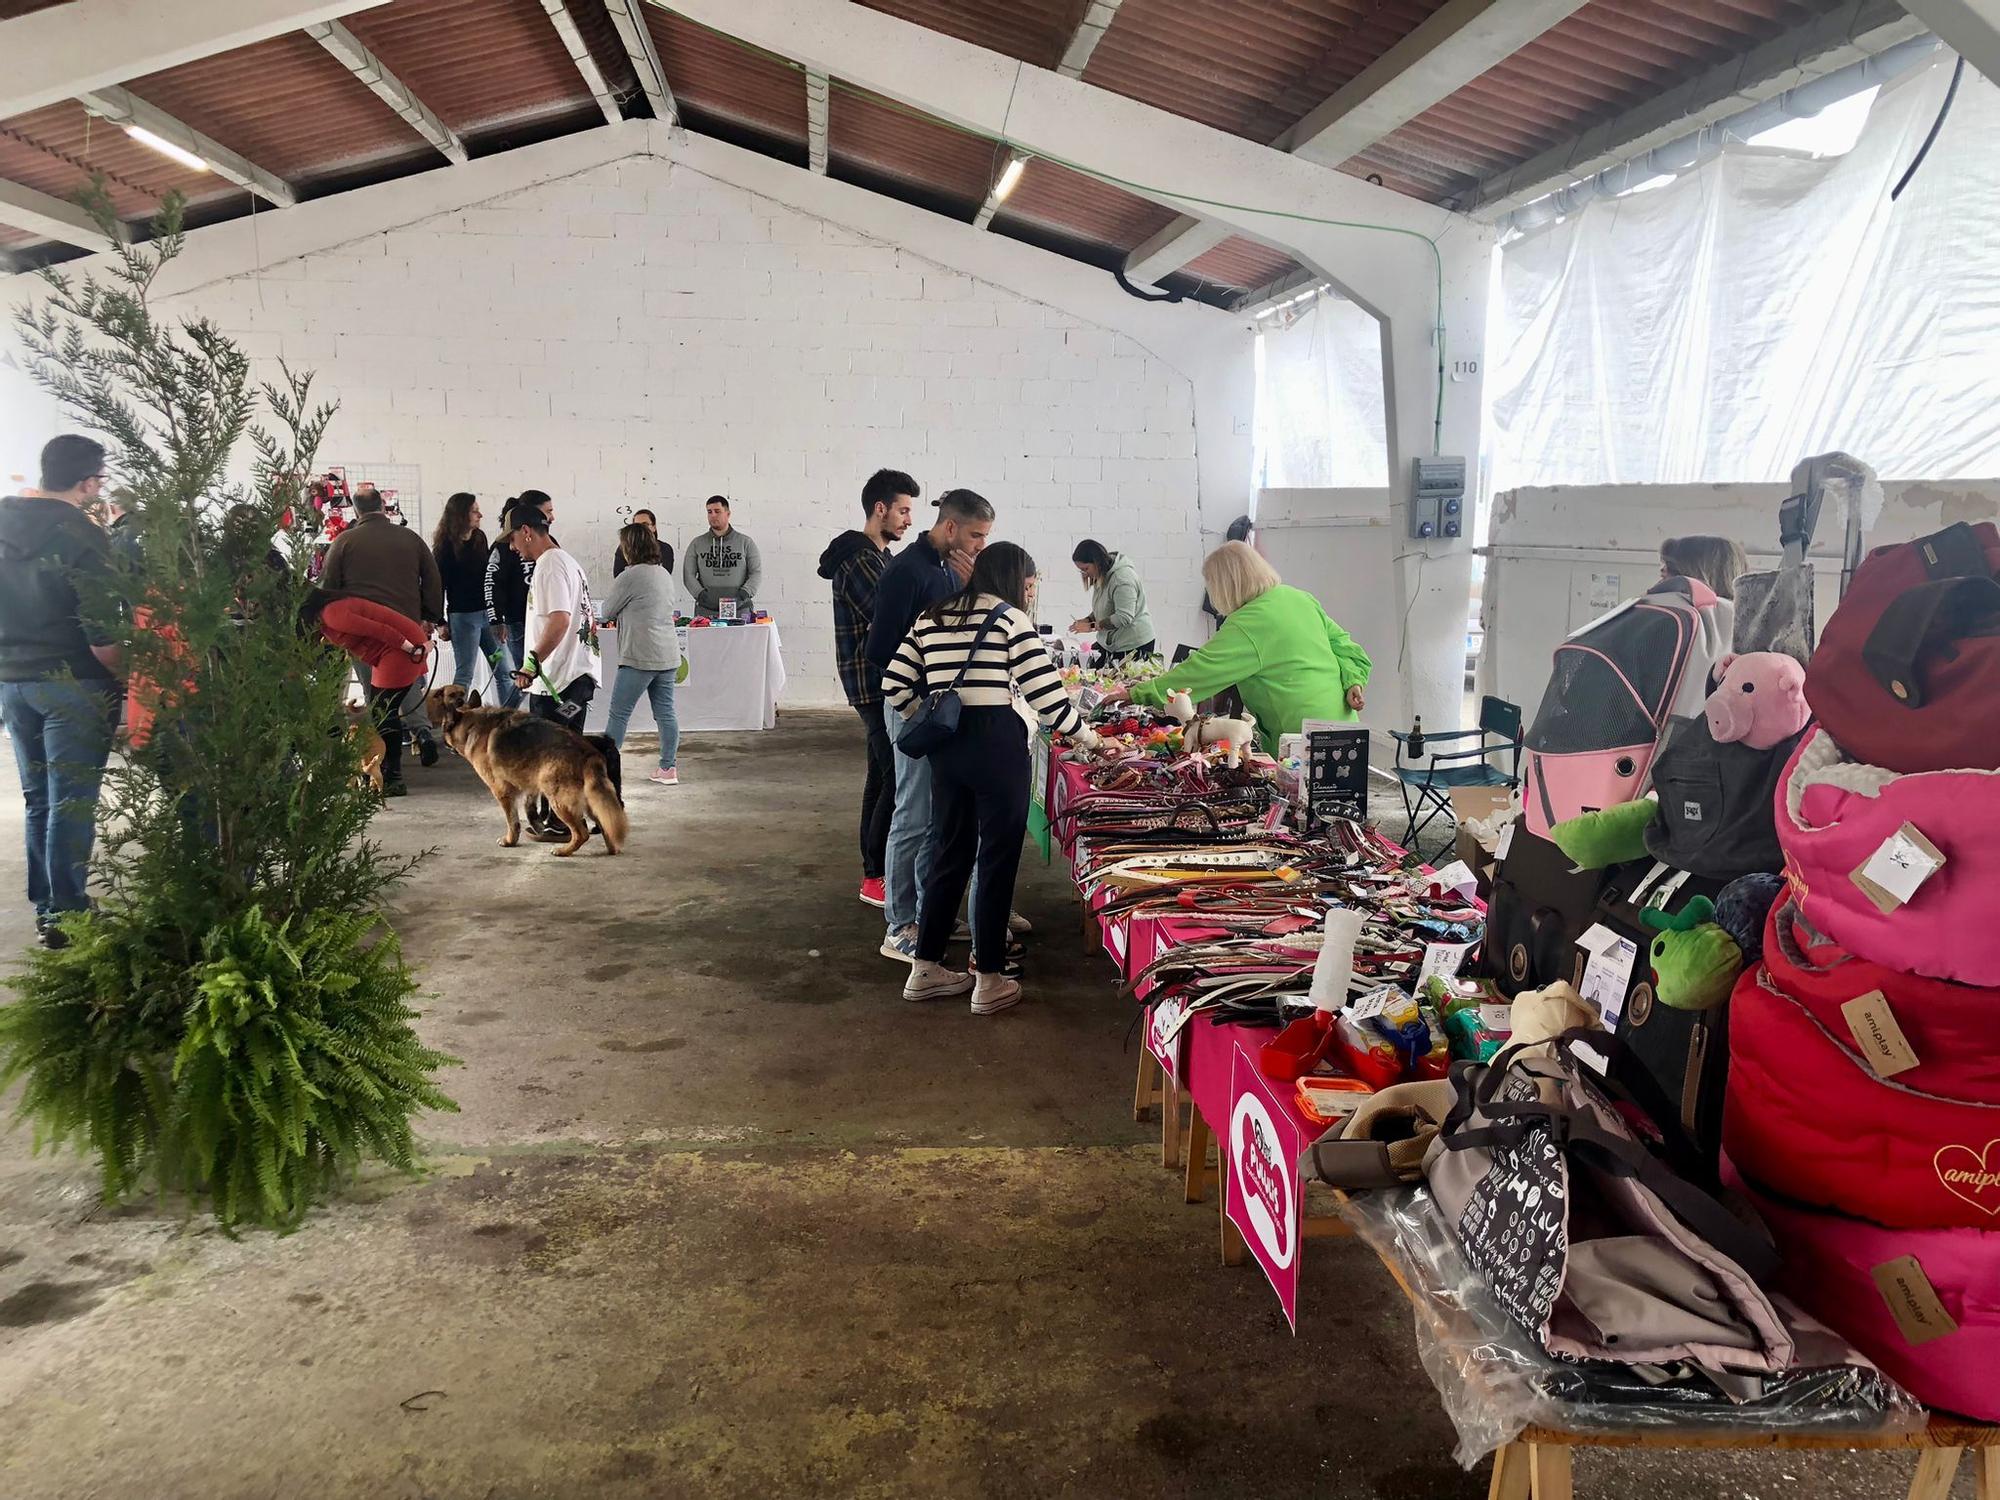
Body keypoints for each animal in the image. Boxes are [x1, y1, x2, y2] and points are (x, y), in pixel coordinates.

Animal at [428, 684, 624, 856]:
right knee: (607, 823)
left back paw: (564, 850)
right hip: (591, 800)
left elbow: (512, 821)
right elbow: (529, 808)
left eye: (445, 726)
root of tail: (589, 753)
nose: (444, 742)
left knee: (582, 833)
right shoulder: (530, 784)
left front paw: (510, 841)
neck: (472, 724)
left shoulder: (502, 792)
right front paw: (537, 826)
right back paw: (612, 848)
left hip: (559, 801)